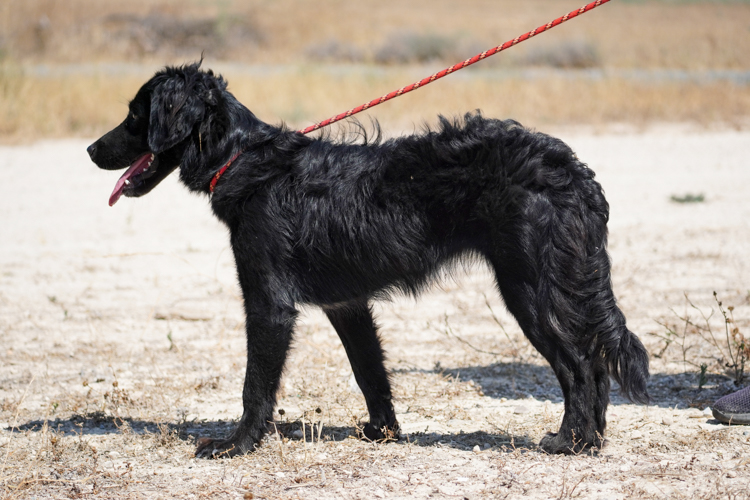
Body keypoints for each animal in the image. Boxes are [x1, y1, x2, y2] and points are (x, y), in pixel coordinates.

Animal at [86, 62, 652, 458]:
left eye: (135, 116)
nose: (90, 149)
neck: (245, 160)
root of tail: (573, 170)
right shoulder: (348, 304)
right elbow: (370, 373)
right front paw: (384, 433)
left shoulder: (269, 304)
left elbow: (255, 386)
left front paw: (236, 445)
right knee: (595, 364)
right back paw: (592, 441)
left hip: (528, 289)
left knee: (579, 366)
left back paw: (568, 443)